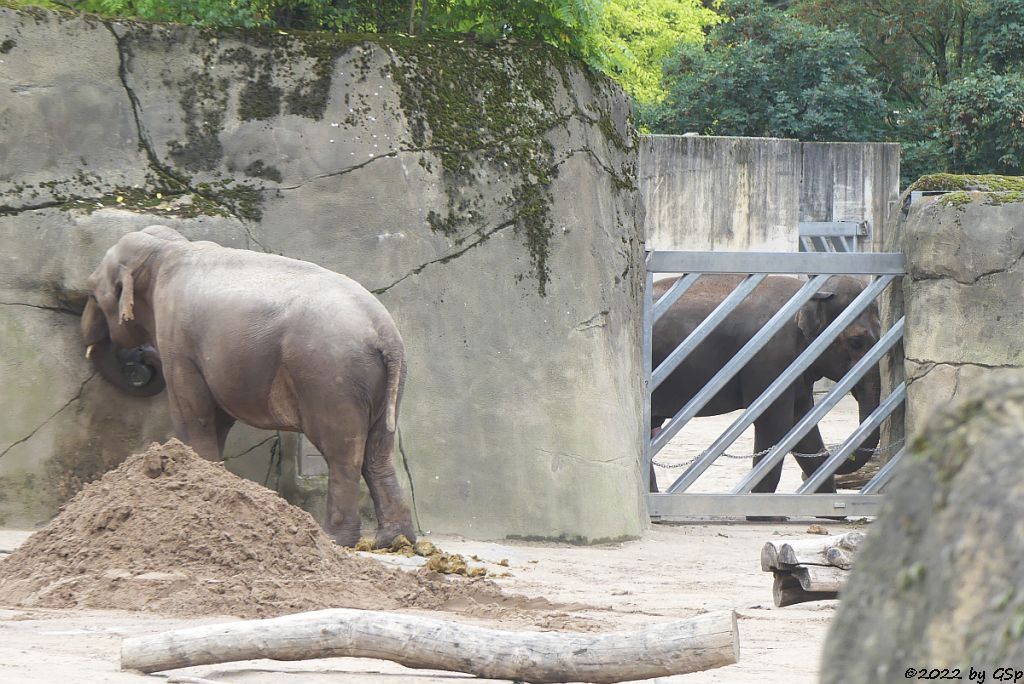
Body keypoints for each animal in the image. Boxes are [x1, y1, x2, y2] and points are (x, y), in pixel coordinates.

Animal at [80, 227, 415, 548]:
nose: (139, 359)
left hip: (330, 375)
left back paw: (335, 540)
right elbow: (218, 419)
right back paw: (393, 541)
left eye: (93, 292)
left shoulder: (178, 342)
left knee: (343, 455)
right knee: (378, 453)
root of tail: (385, 332)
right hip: (382, 381)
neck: (166, 248)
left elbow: (193, 416)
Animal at [655, 274, 880, 497]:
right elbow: (775, 425)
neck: (808, 291)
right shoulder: (772, 359)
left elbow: (803, 430)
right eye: (857, 342)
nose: (834, 452)